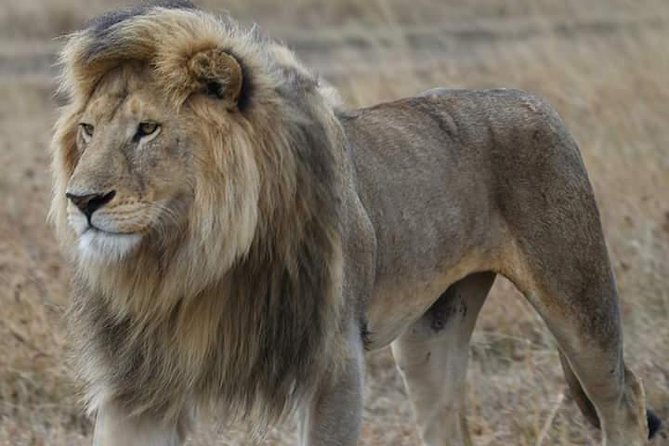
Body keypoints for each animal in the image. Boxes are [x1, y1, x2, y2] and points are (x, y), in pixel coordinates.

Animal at [50, 1, 661, 445]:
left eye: (148, 130)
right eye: (87, 129)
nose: (82, 200)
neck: (189, 257)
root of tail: (535, 100)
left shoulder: (333, 365)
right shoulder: (136, 385)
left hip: (577, 298)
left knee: (624, 399)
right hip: (429, 338)